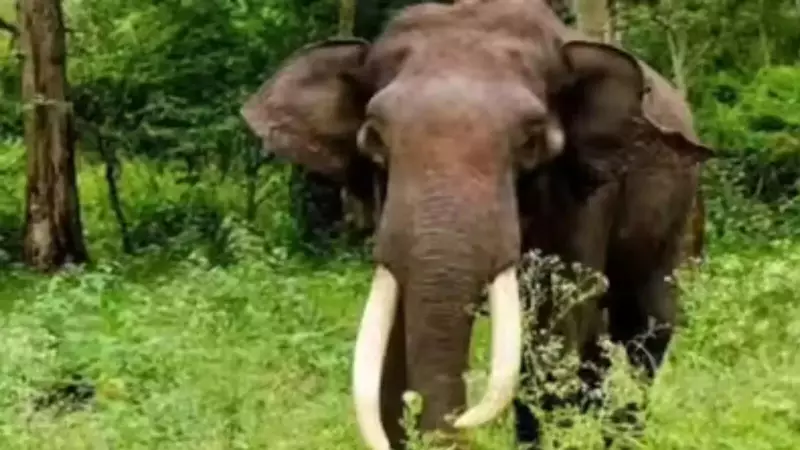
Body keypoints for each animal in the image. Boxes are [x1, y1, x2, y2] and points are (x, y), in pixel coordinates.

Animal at [239, 0, 715, 448]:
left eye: (532, 140)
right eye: (373, 138)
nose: (458, 422)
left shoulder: (587, 197)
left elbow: (552, 335)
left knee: (643, 332)